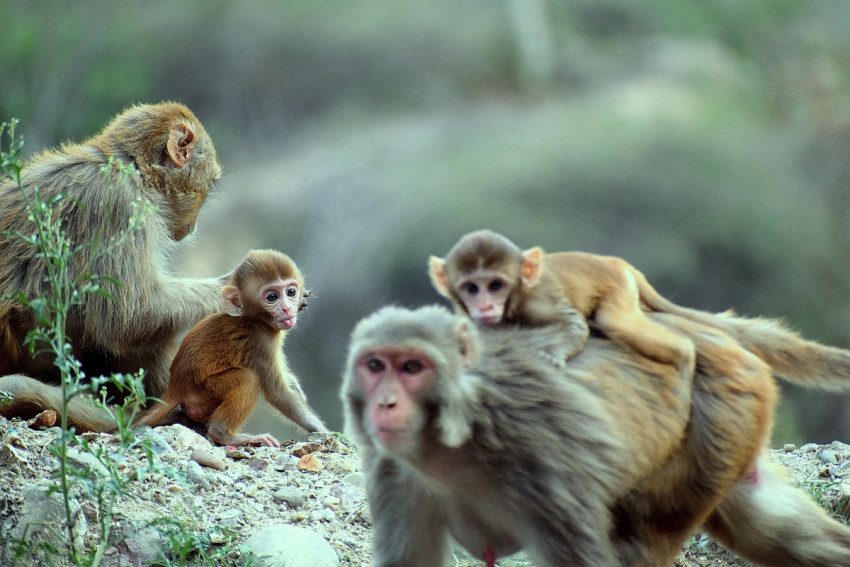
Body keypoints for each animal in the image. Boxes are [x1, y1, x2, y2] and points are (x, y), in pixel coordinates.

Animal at [0, 102, 226, 432]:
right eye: (208, 184)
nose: (194, 224)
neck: (128, 168)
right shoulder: (121, 205)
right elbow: (128, 317)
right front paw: (233, 290)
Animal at [134, 249, 327, 447]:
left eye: (291, 292)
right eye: (272, 297)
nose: (287, 309)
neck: (255, 320)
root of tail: (175, 387)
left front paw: (296, 387)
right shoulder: (259, 343)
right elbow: (278, 394)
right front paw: (322, 430)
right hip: (204, 390)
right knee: (247, 378)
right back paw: (224, 434)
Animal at [341, 305, 850, 567]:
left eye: (412, 367)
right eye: (374, 365)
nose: (385, 403)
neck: (450, 441)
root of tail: (698, 326)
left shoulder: (539, 460)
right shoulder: (394, 473)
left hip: (715, 425)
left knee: (640, 536)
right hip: (734, 430)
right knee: (779, 531)